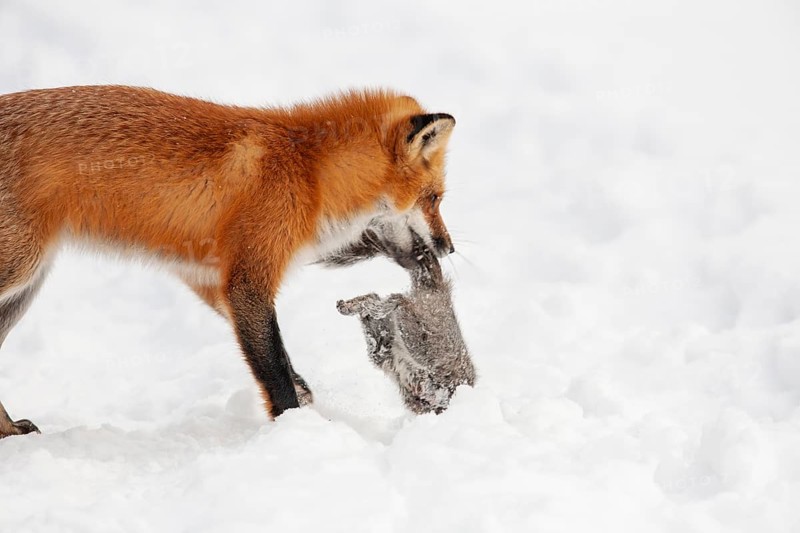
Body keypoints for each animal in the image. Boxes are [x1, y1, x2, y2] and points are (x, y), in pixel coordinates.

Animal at [0, 85, 457, 438]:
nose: (448, 247)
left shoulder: (209, 278)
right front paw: (298, 433)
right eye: (434, 199)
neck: (309, 172)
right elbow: (275, 371)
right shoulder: (248, 281)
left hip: (24, 288)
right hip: (20, 269)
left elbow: (283, 361)